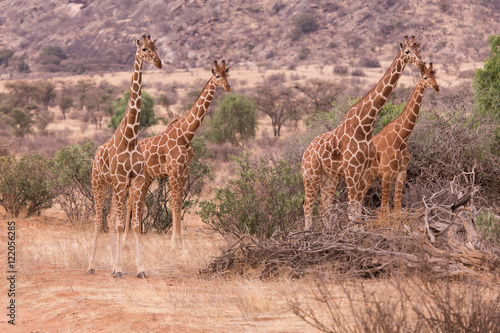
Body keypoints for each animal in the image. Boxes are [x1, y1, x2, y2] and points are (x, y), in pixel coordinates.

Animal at [87, 34, 162, 278]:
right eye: (145, 49)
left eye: (157, 47)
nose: (158, 62)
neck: (130, 137)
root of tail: (95, 155)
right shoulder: (121, 181)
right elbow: (120, 224)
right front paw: (120, 269)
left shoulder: (134, 181)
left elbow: (134, 224)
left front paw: (139, 268)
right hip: (99, 183)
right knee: (98, 219)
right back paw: (91, 265)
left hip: (113, 186)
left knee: (110, 218)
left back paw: (111, 263)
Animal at [123, 60, 230, 252]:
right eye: (217, 75)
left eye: (227, 73)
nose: (228, 87)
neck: (186, 135)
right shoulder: (173, 170)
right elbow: (173, 203)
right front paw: (174, 242)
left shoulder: (184, 170)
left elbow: (179, 202)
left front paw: (180, 241)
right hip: (137, 177)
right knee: (130, 202)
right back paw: (125, 242)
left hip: (148, 177)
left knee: (137, 202)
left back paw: (136, 240)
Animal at [302, 36, 424, 228]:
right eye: (407, 51)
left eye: (419, 49)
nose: (420, 62)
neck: (365, 125)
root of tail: (305, 152)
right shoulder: (352, 170)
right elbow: (352, 211)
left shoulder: (362, 171)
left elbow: (357, 210)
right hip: (310, 175)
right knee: (307, 207)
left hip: (329, 177)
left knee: (324, 207)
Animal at [362, 62, 440, 213]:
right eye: (425, 77)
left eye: (435, 76)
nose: (437, 87)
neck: (401, 138)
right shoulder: (387, 174)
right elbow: (384, 210)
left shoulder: (401, 173)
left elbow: (398, 208)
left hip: (369, 177)